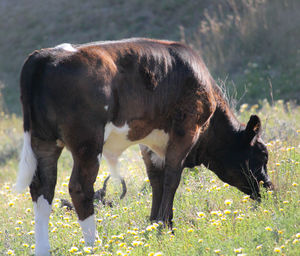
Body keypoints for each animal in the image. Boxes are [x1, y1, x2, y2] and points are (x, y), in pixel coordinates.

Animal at [14, 38, 272, 256]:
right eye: (262, 155)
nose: (268, 188)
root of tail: (45, 55)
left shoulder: (152, 141)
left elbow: (156, 179)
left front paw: (157, 225)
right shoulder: (187, 129)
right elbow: (172, 178)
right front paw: (165, 227)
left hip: (44, 141)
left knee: (42, 188)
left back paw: (43, 249)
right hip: (87, 142)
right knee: (79, 187)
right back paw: (93, 244)